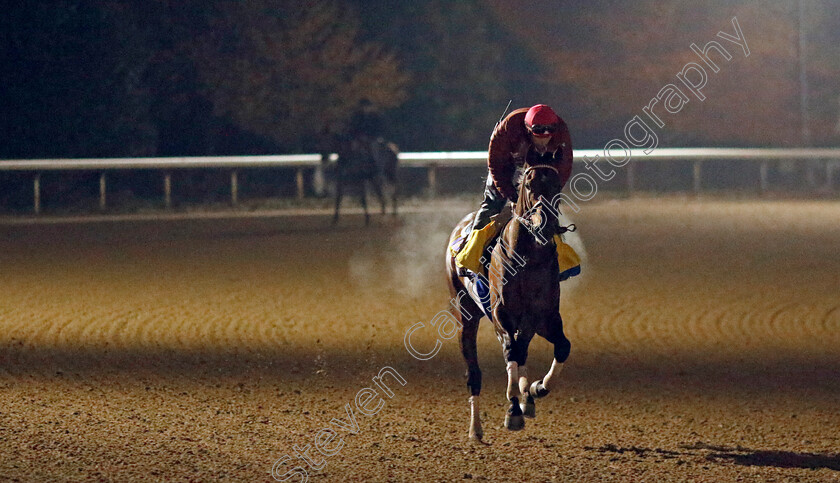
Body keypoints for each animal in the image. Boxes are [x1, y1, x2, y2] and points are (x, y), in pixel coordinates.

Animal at [446, 164, 572, 442]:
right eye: (529, 186)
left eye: (556, 185)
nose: (546, 224)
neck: (529, 261)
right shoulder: (501, 315)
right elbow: (512, 351)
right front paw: (514, 410)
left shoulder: (544, 318)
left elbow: (561, 347)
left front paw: (535, 389)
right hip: (464, 315)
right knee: (475, 372)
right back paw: (475, 429)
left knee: (522, 350)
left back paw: (527, 397)